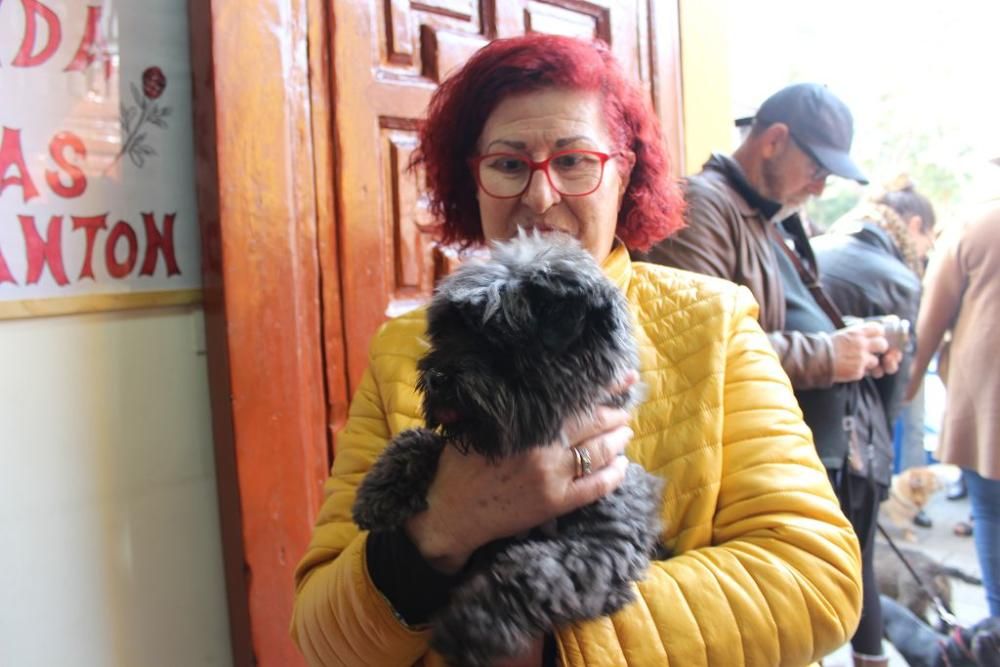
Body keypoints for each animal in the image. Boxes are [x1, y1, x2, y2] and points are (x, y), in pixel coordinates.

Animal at [352, 231, 664, 667]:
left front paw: (472, 625)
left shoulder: (603, 549)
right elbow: (423, 439)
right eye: (446, 333)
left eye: (494, 338)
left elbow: (532, 573)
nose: (437, 376)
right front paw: (381, 489)